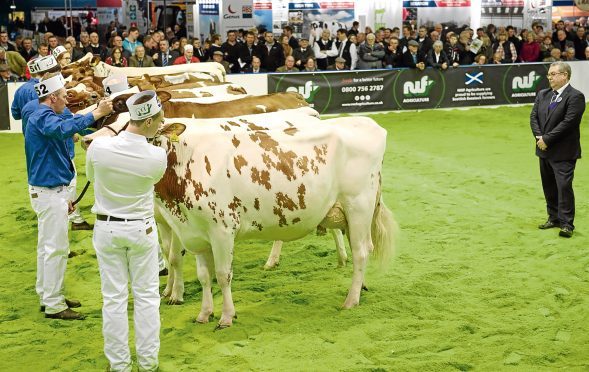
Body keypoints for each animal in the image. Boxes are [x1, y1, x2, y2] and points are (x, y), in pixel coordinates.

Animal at [147, 115, 396, 326]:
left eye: (150, 137)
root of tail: (365, 122)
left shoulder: (222, 229)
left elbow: (223, 275)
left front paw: (226, 316)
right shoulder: (196, 232)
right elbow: (204, 277)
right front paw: (204, 314)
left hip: (358, 205)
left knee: (361, 252)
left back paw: (351, 300)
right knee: (363, 249)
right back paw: (361, 287)